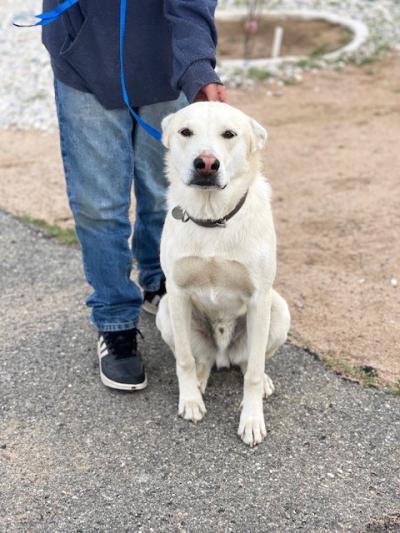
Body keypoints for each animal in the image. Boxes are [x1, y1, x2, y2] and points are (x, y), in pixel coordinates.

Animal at [155, 101, 290, 444]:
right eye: (185, 131)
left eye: (229, 134)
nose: (205, 163)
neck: (212, 217)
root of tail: (222, 354)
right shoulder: (176, 293)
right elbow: (184, 360)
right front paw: (189, 400)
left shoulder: (259, 299)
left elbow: (252, 373)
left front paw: (252, 420)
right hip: (166, 312)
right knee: (199, 359)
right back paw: (200, 381)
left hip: (278, 311)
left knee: (249, 362)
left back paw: (261, 380)